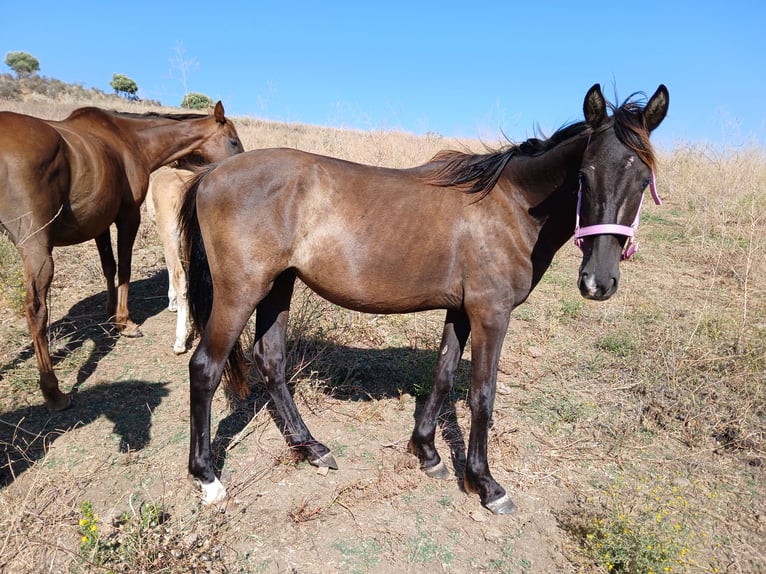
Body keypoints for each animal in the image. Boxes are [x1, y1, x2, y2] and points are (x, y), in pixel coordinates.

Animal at [0, 101, 243, 412]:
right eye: (233, 141)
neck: (133, 140)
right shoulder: (126, 216)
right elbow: (123, 266)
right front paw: (124, 320)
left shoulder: (103, 221)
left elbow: (111, 266)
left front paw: (115, 315)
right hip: (36, 244)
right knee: (36, 309)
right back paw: (53, 392)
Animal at [182, 84, 672, 512]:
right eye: (584, 176)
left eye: (642, 179)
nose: (597, 282)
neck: (510, 206)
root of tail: (210, 174)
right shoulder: (490, 314)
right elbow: (482, 394)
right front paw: (485, 483)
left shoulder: (460, 310)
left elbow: (442, 375)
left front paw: (427, 452)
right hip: (241, 292)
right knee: (206, 367)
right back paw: (208, 478)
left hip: (278, 286)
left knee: (271, 360)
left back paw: (312, 447)